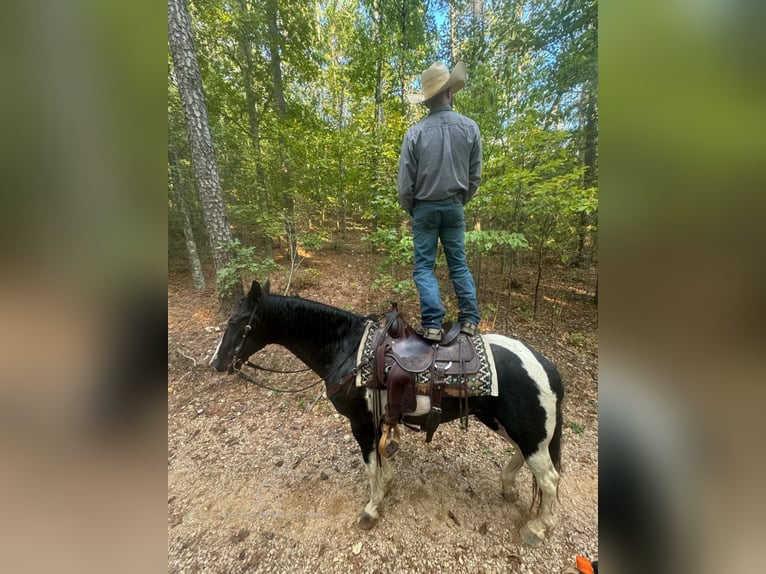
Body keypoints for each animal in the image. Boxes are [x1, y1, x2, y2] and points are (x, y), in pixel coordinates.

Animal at [210, 282, 564, 548]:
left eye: (236, 322)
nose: (216, 362)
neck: (347, 350)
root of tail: (546, 365)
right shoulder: (376, 420)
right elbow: (381, 459)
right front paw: (388, 484)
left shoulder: (360, 423)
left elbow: (370, 465)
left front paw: (371, 508)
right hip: (505, 424)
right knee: (522, 457)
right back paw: (508, 488)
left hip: (528, 431)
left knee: (549, 478)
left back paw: (538, 527)